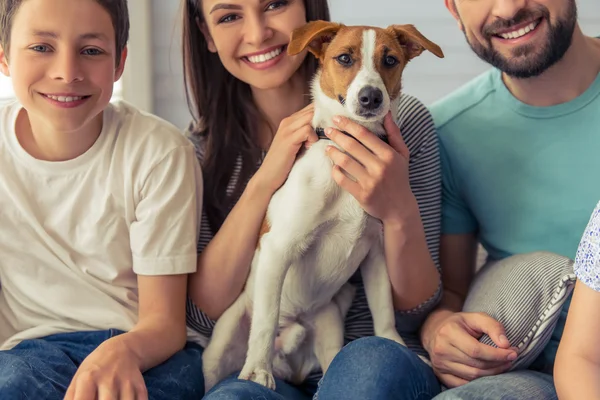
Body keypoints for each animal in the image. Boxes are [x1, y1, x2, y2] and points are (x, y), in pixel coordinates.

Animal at [204, 19, 442, 390]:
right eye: (344, 58)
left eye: (390, 60)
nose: (371, 97)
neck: (348, 149)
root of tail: (291, 359)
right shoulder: (278, 248)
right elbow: (265, 322)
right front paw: (257, 370)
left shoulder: (377, 252)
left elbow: (384, 309)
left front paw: (395, 344)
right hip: (222, 342)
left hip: (329, 327)